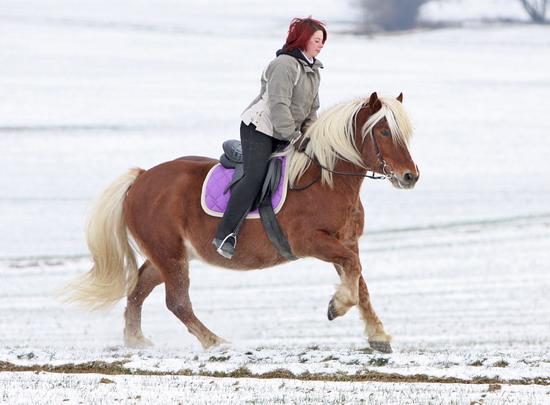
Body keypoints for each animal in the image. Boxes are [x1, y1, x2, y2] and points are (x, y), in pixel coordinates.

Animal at [66, 91, 418, 354]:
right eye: (384, 131)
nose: (410, 177)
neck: (325, 181)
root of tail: (139, 179)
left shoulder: (344, 242)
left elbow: (360, 282)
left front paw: (377, 335)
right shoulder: (312, 242)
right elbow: (354, 276)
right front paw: (337, 306)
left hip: (167, 255)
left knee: (138, 290)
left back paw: (136, 342)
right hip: (170, 255)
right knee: (177, 302)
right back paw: (216, 342)